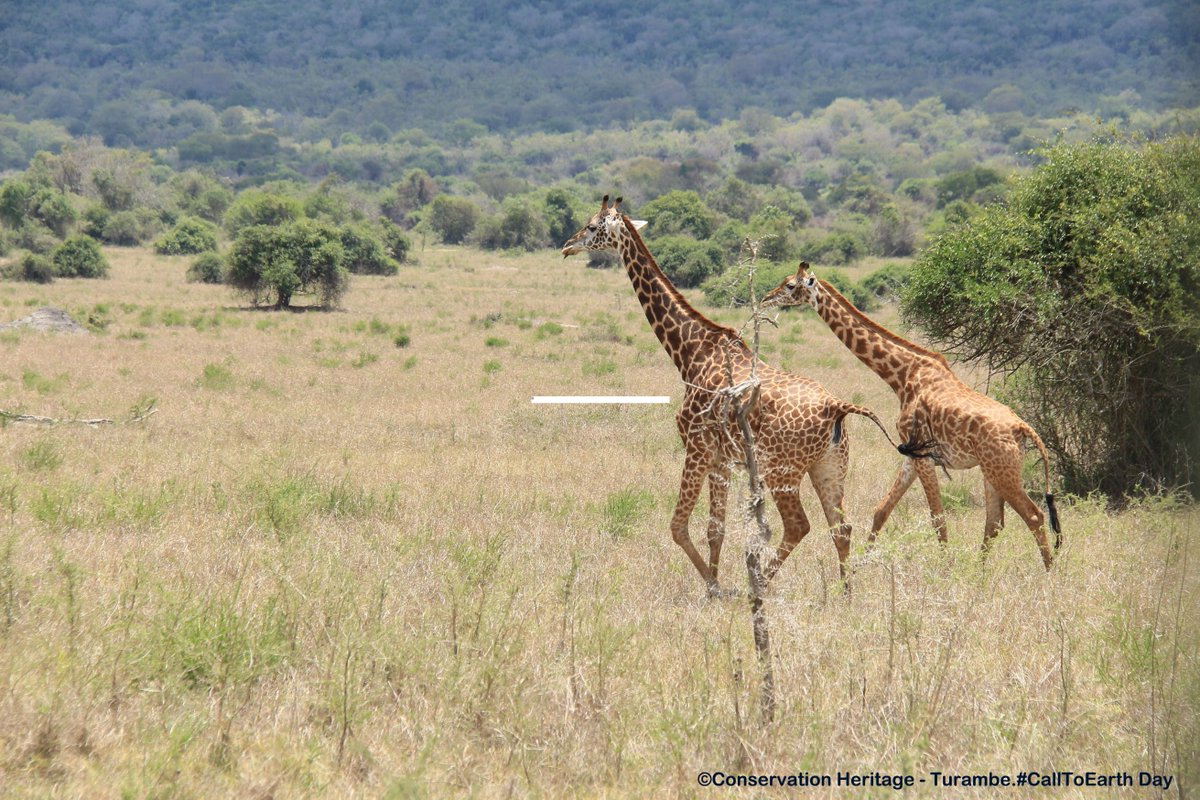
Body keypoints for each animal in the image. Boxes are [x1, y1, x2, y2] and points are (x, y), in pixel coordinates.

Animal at [561, 196, 891, 594]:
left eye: (593, 226)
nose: (567, 246)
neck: (690, 351)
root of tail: (835, 406)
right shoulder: (721, 459)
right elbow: (714, 529)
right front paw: (714, 583)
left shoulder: (697, 447)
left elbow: (678, 526)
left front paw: (714, 586)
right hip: (829, 467)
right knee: (840, 526)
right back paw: (844, 594)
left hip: (784, 471)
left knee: (799, 525)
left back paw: (758, 584)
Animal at [760, 262, 1062, 569]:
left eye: (789, 285)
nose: (765, 298)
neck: (903, 374)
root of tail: (1023, 428)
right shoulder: (911, 453)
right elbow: (882, 509)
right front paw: (862, 564)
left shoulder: (923, 455)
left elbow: (937, 517)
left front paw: (945, 569)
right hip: (992, 469)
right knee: (995, 521)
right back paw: (979, 573)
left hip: (1002, 470)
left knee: (1033, 515)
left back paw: (1049, 573)